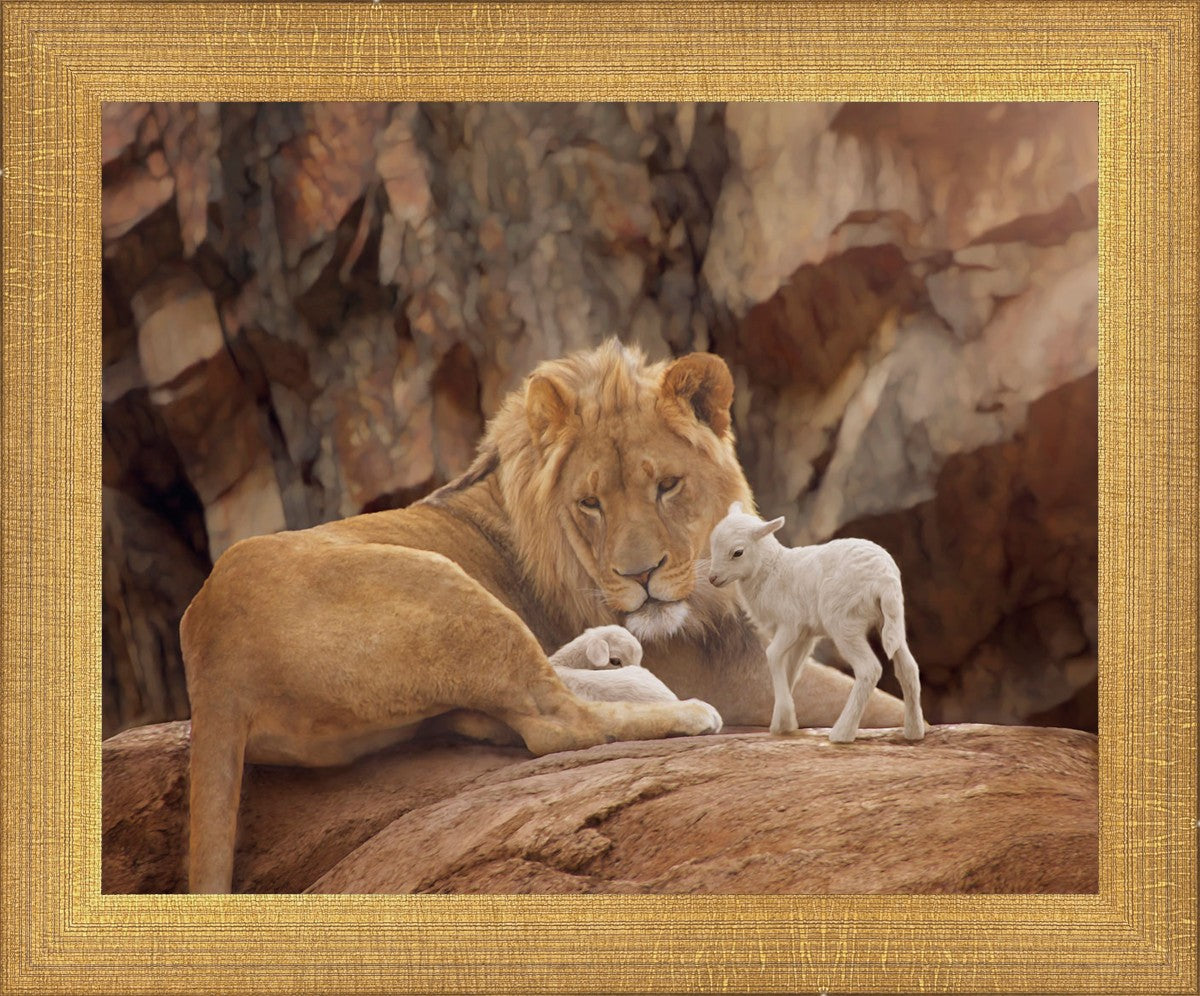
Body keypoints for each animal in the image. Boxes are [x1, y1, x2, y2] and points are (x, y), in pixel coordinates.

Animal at [707, 502, 926, 744]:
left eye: (737, 552)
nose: (712, 578)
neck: (771, 570)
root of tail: (884, 579)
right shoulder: (805, 635)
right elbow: (791, 669)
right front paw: (783, 723)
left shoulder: (790, 624)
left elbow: (772, 655)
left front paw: (784, 719)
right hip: (891, 620)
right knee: (908, 668)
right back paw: (914, 731)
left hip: (844, 621)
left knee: (869, 669)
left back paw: (842, 733)